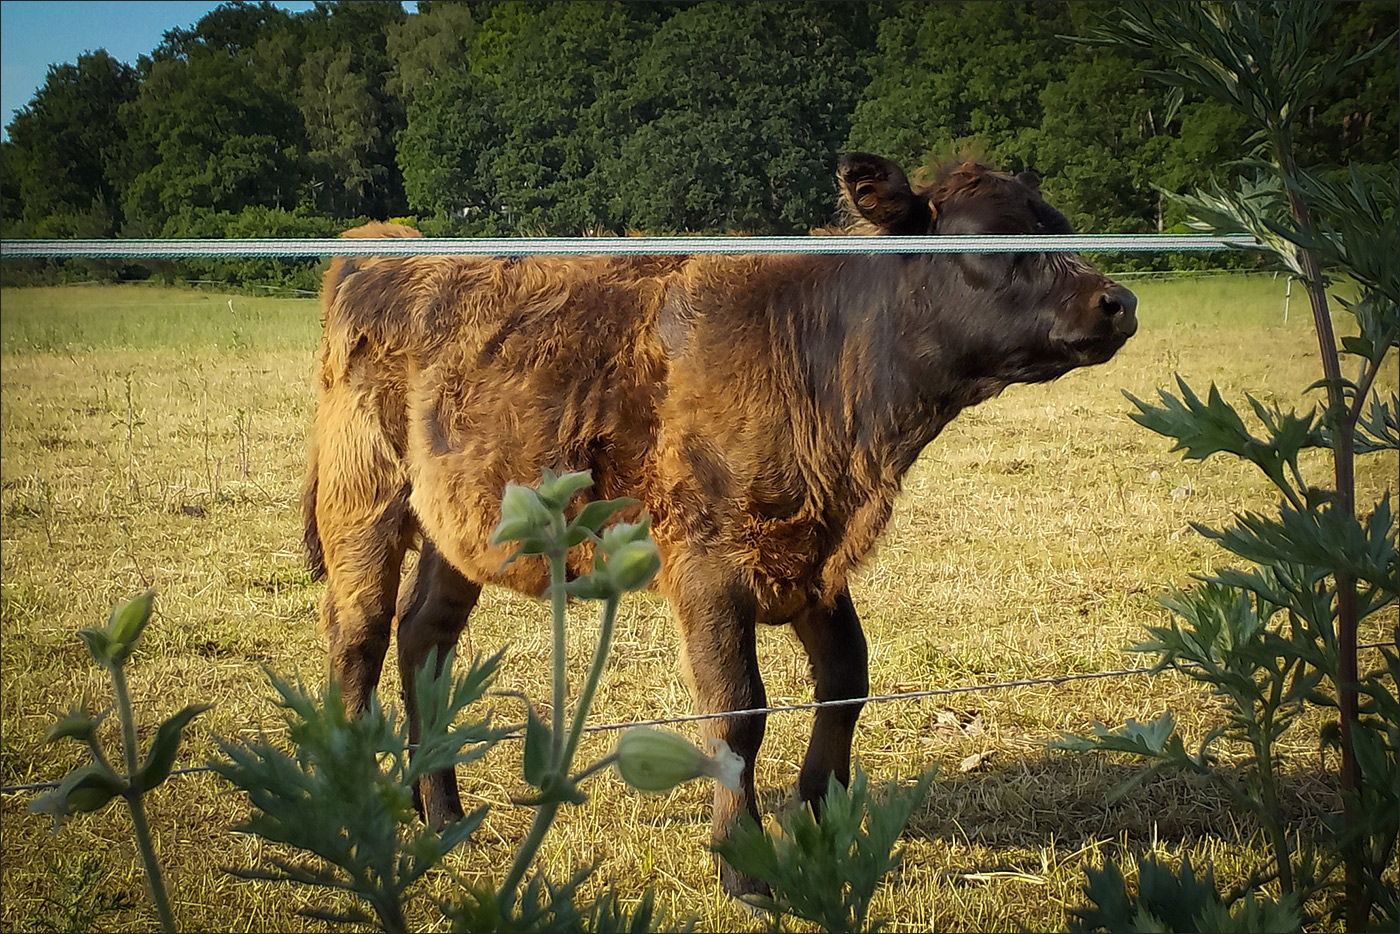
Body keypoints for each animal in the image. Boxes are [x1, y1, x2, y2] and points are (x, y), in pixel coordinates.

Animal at [306, 153, 1136, 896]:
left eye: (1057, 224)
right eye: (992, 238)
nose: (1118, 301)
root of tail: (378, 245)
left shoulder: (809, 556)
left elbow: (846, 680)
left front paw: (820, 821)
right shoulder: (711, 566)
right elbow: (738, 710)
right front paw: (745, 865)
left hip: (461, 524)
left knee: (424, 638)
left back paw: (441, 813)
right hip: (364, 502)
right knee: (359, 640)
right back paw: (360, 808)